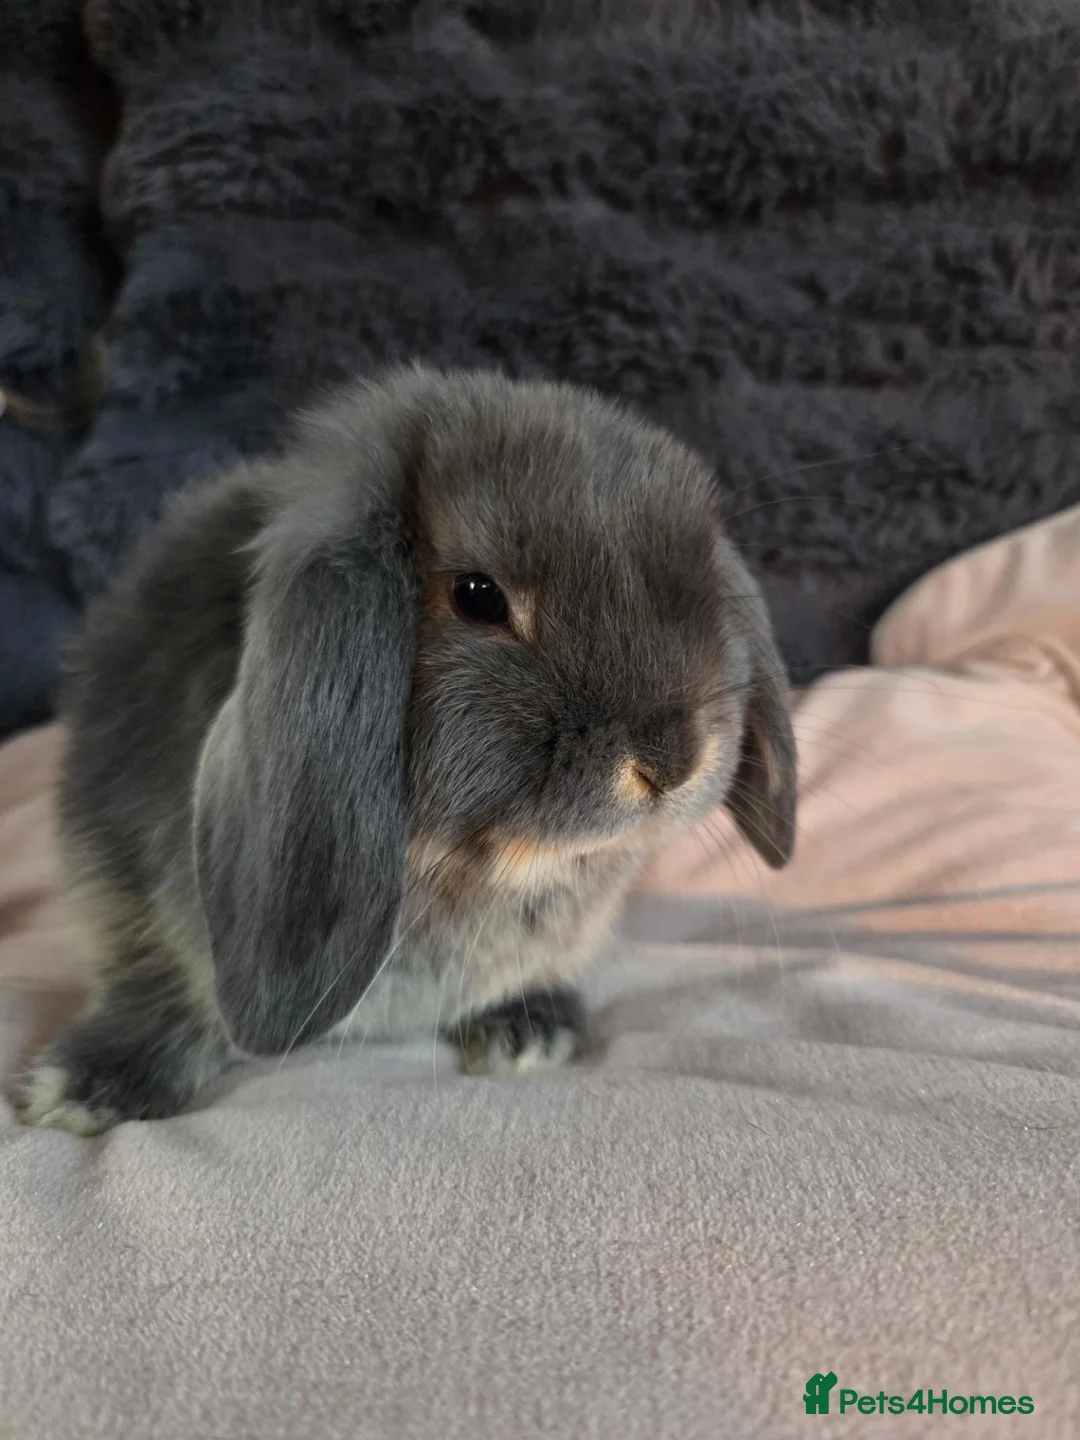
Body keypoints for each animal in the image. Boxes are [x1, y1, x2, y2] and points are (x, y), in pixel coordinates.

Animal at [16, 365, 796, 1134]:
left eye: (703, 582)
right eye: (479, 596)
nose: (673, 760)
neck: (471, 873)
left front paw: (530, 1032)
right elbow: (158, 988)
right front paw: (79, 1089)